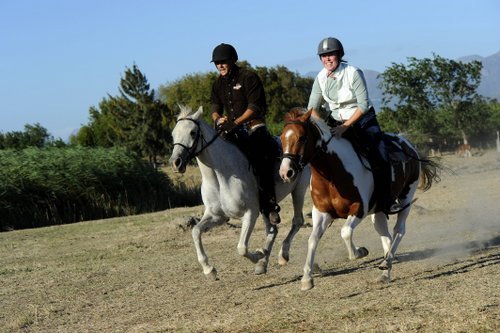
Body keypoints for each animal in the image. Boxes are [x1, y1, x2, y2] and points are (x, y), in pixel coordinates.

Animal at [168, 105, 310, 278]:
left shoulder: (250, 213)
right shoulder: (217, 216)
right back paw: (262, 264)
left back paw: (282, 255)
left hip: (299, 189)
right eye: (173, 134)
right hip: (266, 208)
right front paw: (209, 269)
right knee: (272, 230)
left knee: (297, 221)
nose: (175, 163)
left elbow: (242, 248)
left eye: (192, 132)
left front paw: (258, 254)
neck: (220, 176)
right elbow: (195, 231)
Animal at [280, 107, 440, 290]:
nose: (285, 172)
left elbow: (345, 232)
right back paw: (385, 271)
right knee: (384, 234)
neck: (333, 174)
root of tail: (409, 145)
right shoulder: (321, 212)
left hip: (406, 199)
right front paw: (307, 278)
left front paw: (359, 252)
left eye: (302, 137)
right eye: (281, 138)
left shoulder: (358, 209)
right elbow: (312, 239)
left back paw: (387, 262)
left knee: (399, 230)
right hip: (379, 210)